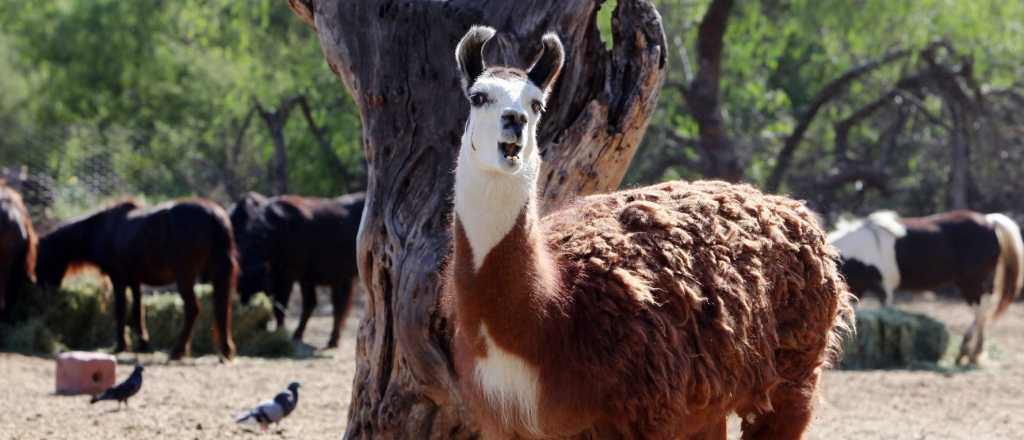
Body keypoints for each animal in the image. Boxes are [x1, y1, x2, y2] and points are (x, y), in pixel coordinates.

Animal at [36, 197, 237, 360]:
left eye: (40, 259)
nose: (43, 289)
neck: (103, 229)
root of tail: (214, 215)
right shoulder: (134, 280)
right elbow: (137, 310)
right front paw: (143, 343)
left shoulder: (118, 278)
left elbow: (120, 309)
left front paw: (121, 345)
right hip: (220, 276)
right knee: (222, 309)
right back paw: (225, 351)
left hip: (185, 277)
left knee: (193, 309)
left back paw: (177, 351)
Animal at [229, 191, 364, 347]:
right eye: (240, 292)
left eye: (258, 290)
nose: (257, 325)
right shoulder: (302, 278)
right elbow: (305, 304)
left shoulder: (287, 277)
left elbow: (280, 307)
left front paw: (280, 332)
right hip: (337, 278)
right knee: (333, 305)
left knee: (338, 307)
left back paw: (332, 340)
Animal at [827, 209, 1019, 364]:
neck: (862, 248)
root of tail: (990, 221)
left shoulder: (884, 289)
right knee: (983, 310)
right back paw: (972, 353)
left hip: (971, 281)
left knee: (980, 310)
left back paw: (967, 352)